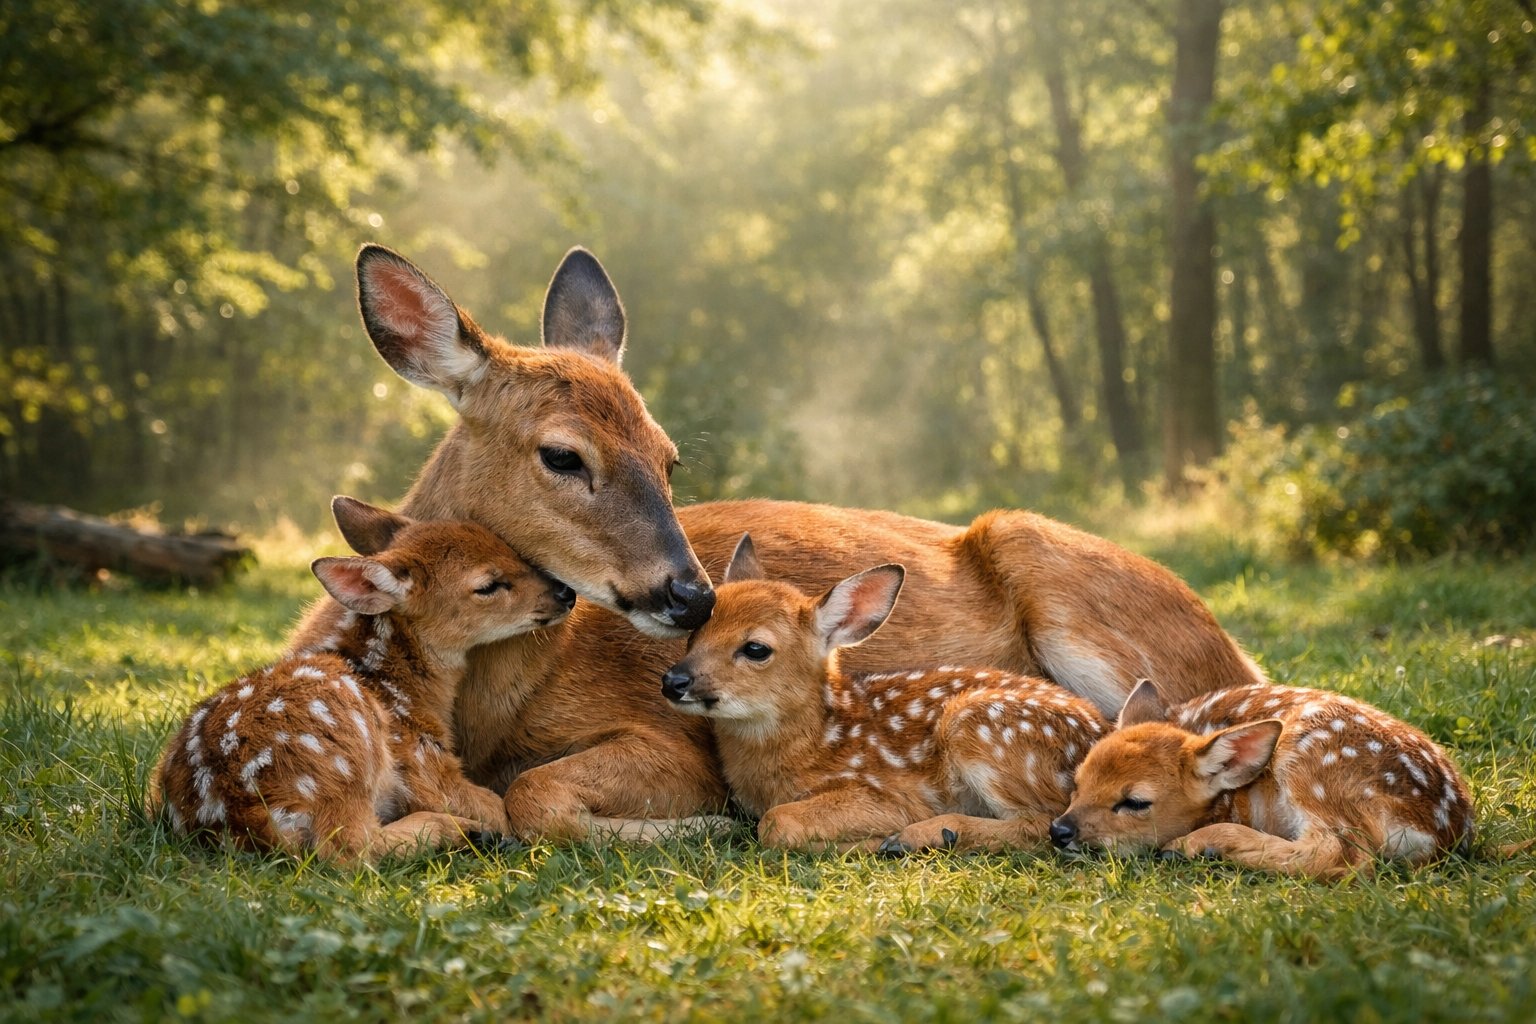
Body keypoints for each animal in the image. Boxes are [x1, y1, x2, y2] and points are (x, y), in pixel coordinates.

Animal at [149, 497, 576, 860]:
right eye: (487, 585)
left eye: (508, 547)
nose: (565, 593)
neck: (396, 686)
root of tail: (243, 818)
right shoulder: (421, 762)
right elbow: (494, 806)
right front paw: (490, 826)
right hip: (344, 751)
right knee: (349, 847)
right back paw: (463, 832)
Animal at [657, 535, 1111, 852]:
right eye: (694, 634)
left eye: (756, 648)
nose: (674, 681)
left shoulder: (888, 793)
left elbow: (775, 822)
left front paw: (869, 841)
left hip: (982, 726)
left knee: (1045, 824)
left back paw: (920, 837)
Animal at [1050, 679, 1476, 879]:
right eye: (1077, 782)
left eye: (1136, 801)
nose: (1060, 831)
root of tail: (1442, 828)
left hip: (1313, 761)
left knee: (1341, 854)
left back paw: (1196, 845)